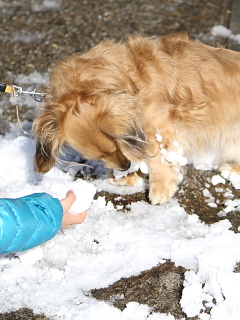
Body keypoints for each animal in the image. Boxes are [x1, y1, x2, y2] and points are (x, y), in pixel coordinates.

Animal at [32, 33, 240, 204]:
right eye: (99, 156)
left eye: (115, 145)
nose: (124, 167)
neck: (131, 80)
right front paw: (129, 177)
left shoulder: (159, 131)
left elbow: (157, 161)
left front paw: (159, 189)